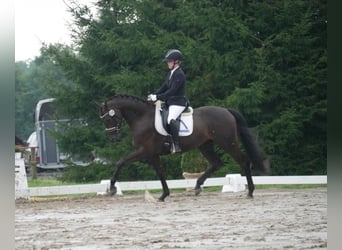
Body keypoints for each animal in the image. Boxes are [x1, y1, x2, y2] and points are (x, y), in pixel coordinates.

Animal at [95, 94, 268, 201]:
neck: (142, 118)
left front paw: (112, 188)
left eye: (109, 119)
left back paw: (250, 191)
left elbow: (121, 162)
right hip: (205, 145)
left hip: (227, 142)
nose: (113, 138)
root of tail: (226, 110)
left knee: (243, 161)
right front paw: (164, 195)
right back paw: (197, 187)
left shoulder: (144, 152)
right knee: (216, 163)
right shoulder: (152, 155)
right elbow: (160, 173)